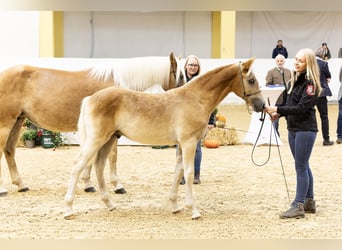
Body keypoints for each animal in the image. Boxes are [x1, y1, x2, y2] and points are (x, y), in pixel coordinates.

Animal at [0, 52, 184, 196]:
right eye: (181, 76)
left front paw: (88, 184)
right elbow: (112, 156)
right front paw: (117, 186)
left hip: (17, 121)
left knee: (9, 151)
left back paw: (21, 185)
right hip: (5, 123)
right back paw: (3, 190)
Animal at [64, 58, 266, 219]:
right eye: (251, 80)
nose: (262, 105)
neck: (195, 98)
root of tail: (90, 98)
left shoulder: (181, 145)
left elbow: (178, 172)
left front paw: (175, 206)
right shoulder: (188, 143)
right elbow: (189, 173)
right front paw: (194, 210)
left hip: (108, 140)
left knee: (98, 167)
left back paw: (110, 204)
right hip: (96, 140)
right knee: (77, 166)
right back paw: (68, 210)